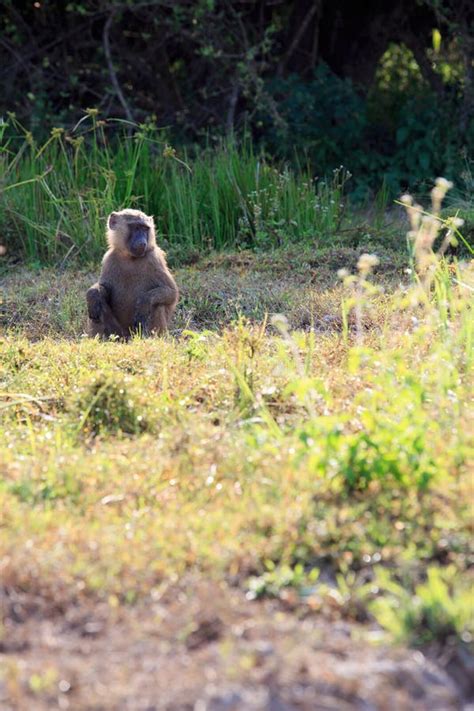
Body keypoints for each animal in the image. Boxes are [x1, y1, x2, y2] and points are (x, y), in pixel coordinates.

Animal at [86, 209, 178, 340]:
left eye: (145, 229)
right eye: (135, 227)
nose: (142, 242)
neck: (130, 257)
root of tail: (128, 337)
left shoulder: (154, 259)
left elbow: (171, 293)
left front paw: (144, 303)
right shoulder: (108, 258)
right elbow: (104, 290)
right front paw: (92, 294)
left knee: (157, 304)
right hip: (117, 333)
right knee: (98, 305)